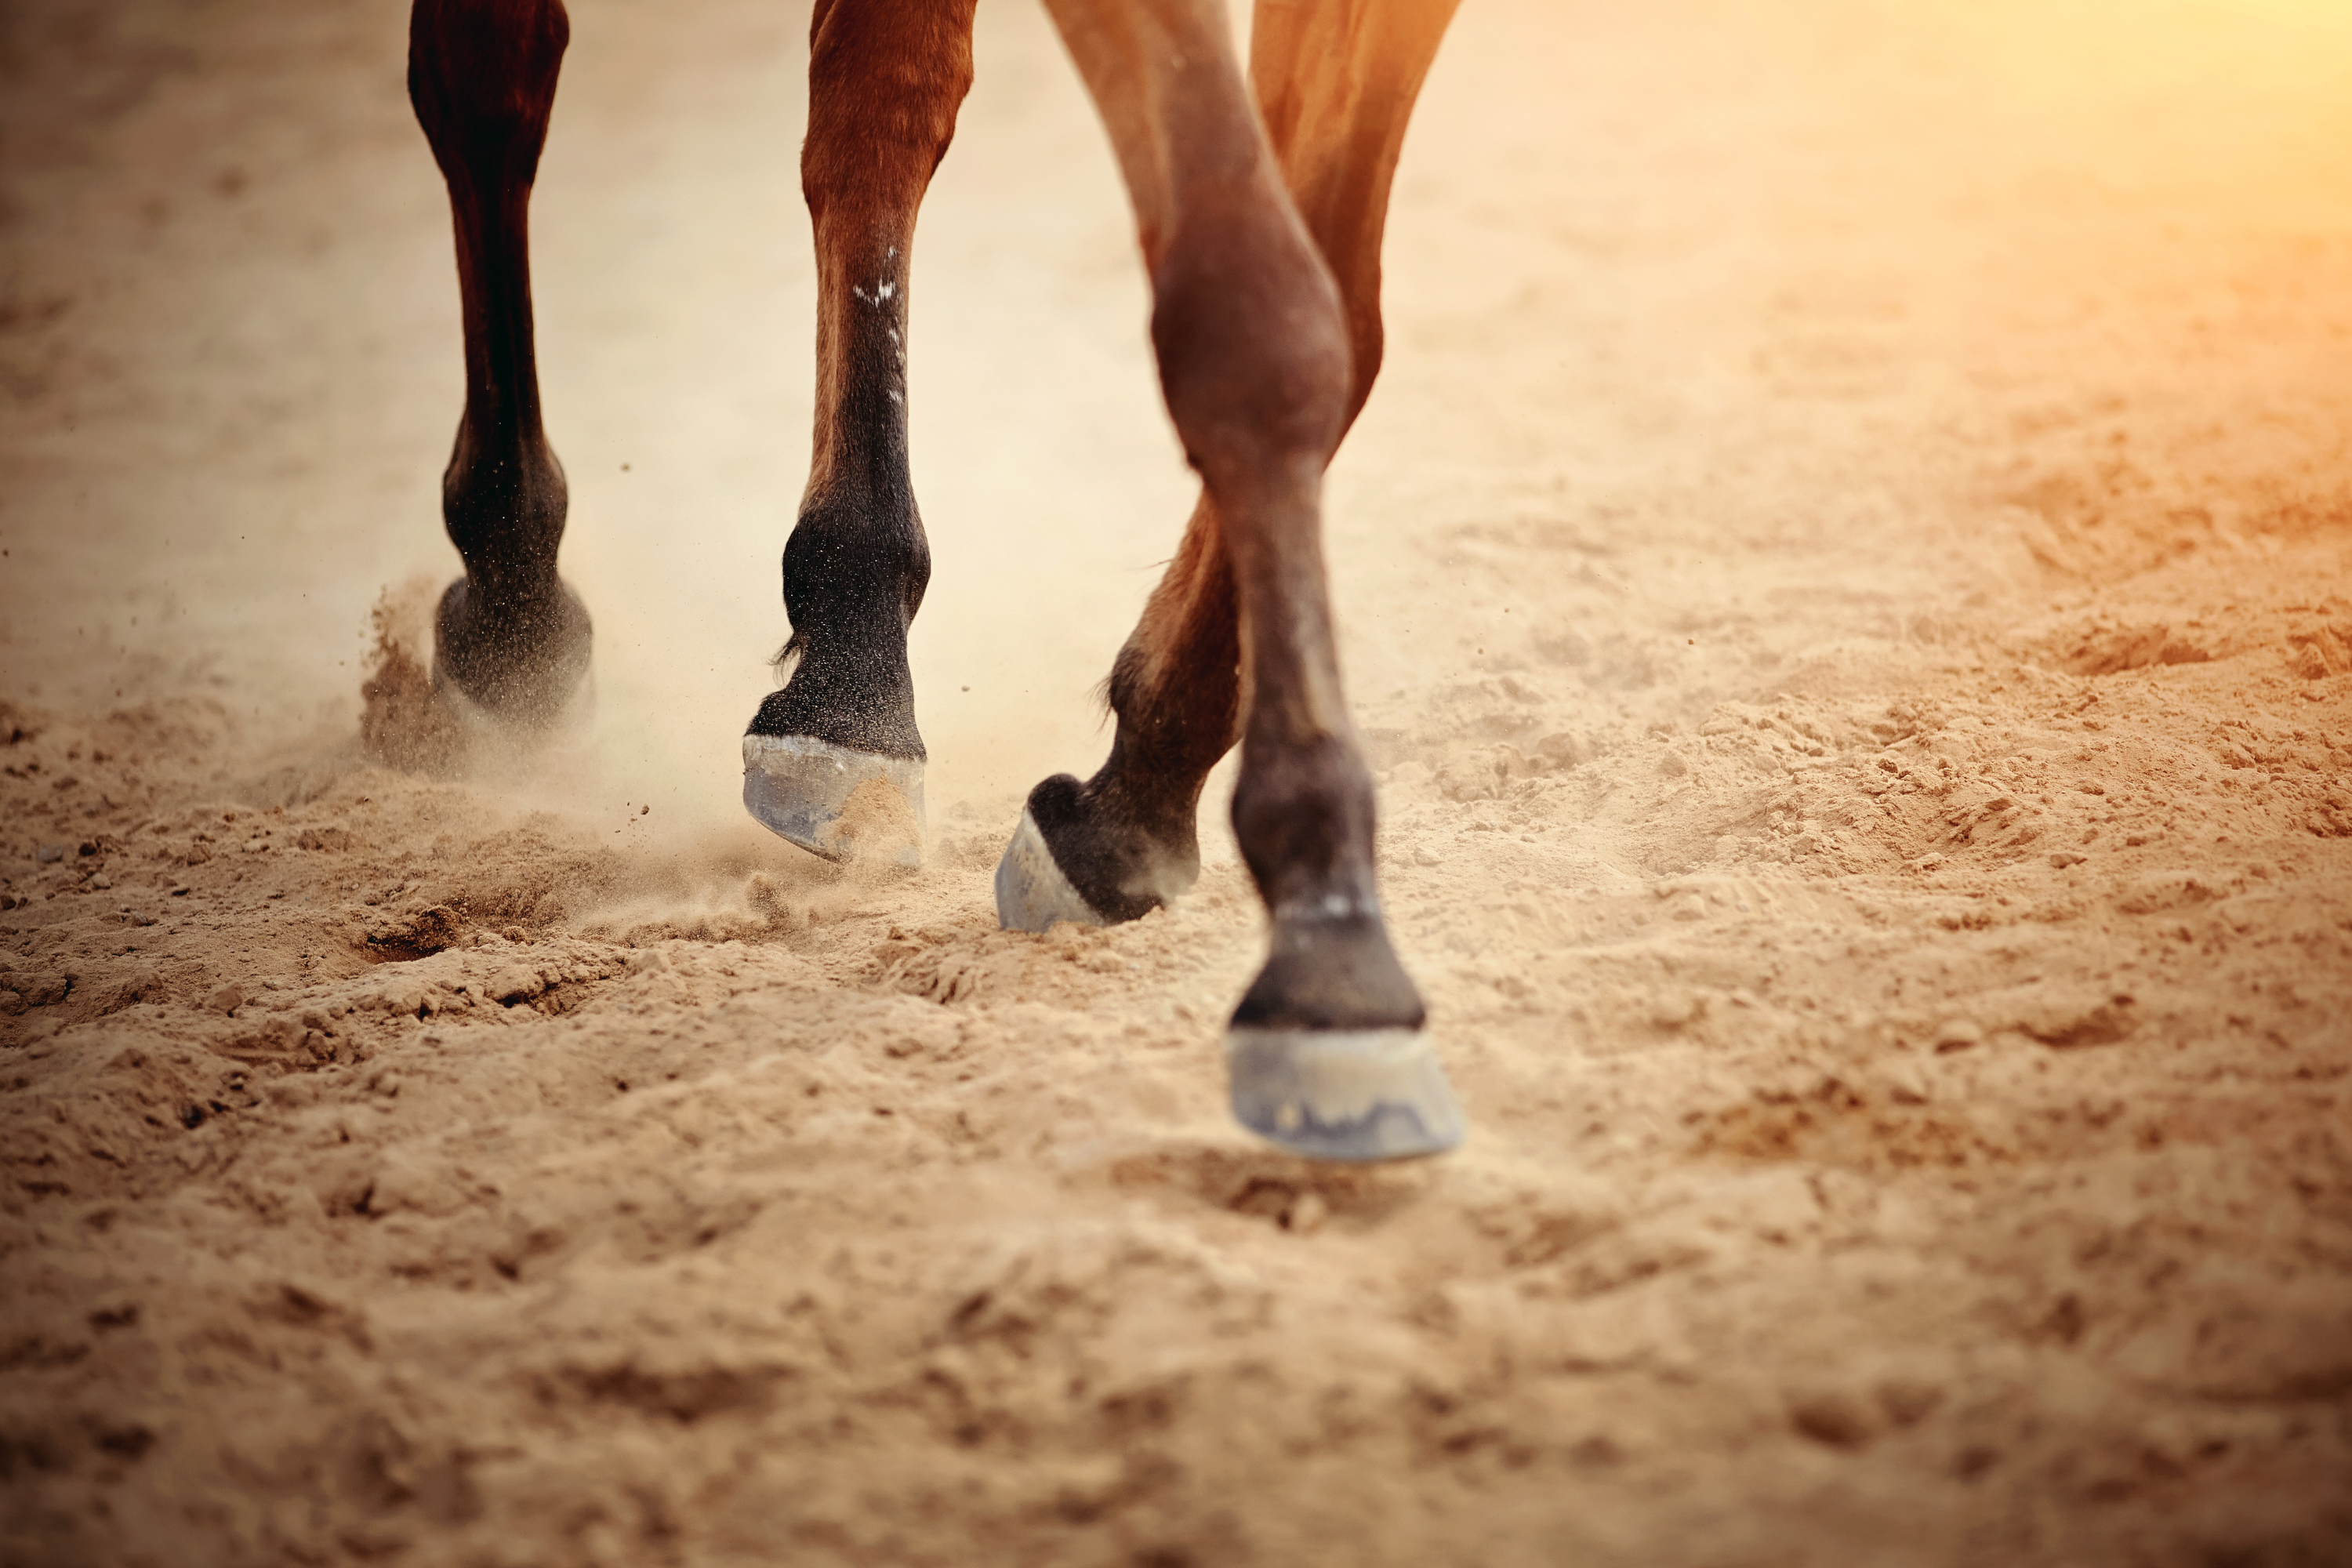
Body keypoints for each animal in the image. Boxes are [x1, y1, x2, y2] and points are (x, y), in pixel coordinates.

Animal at [405, 0, 1466, 1160]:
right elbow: (1254, 320)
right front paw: (1333, 954)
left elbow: (1338, 321)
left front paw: (1136, 801)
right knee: (494, 77)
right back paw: (527, 605)